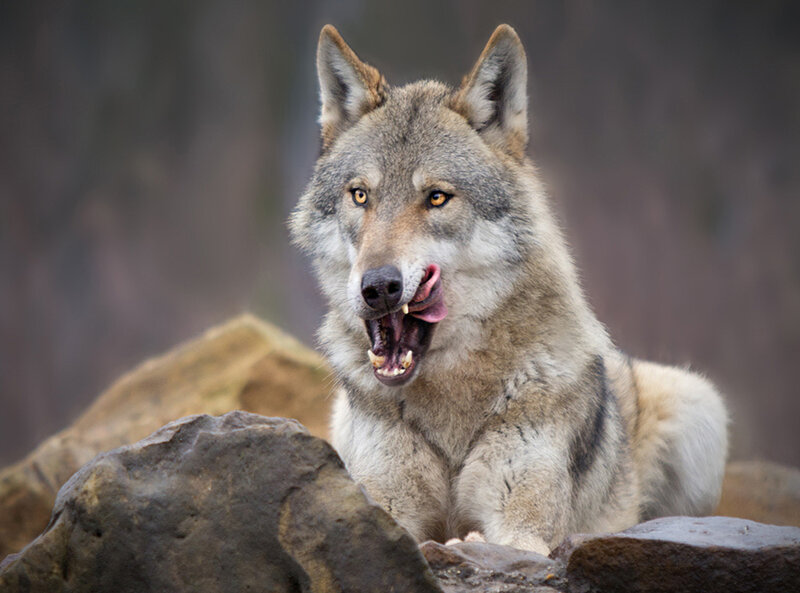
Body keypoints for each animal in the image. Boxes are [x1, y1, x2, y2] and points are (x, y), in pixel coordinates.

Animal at [290, 24, 728, 554]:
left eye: (437, 198)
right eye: (360, 195)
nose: (378, 286)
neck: (451, 401)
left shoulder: (523, 527)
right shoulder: (382, 505)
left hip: (697, 402)